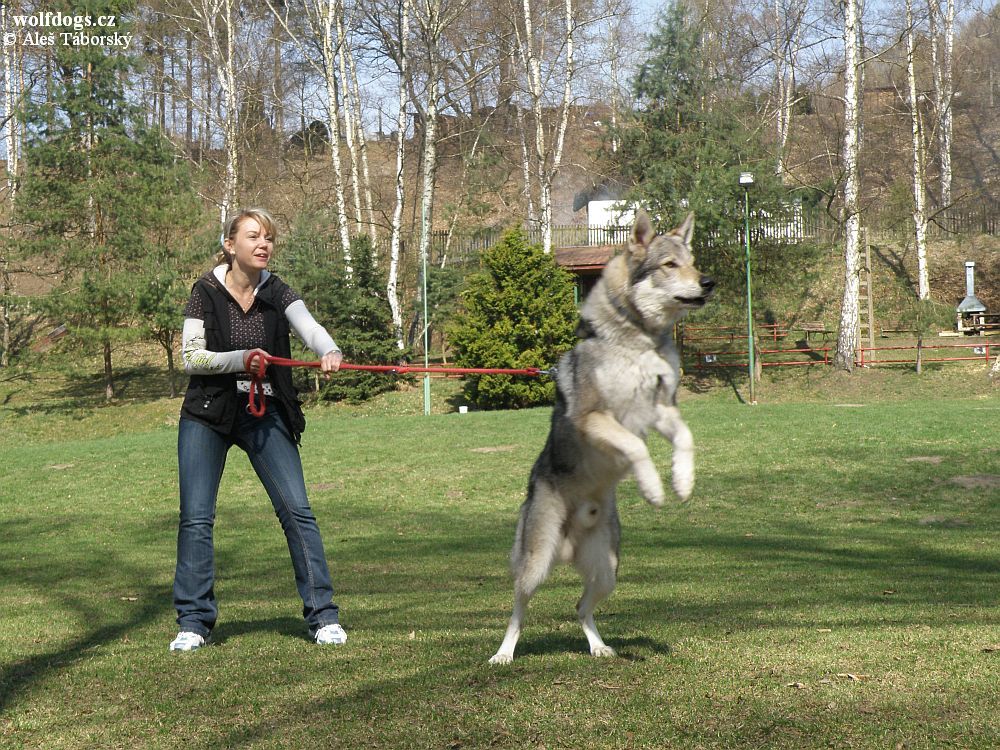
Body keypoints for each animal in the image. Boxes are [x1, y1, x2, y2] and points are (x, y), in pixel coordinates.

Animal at [490, 210, 712, 664]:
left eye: (694, 262)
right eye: (670, 265)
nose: (709, 282)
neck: (640, 341)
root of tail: (569, 543)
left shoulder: (661, 410)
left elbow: (685, 438)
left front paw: (682, 481)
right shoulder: (595, 418)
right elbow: (636, 446)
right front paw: (653, 489)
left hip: (608, 570)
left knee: (580, 607)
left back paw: (598, 646)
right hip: (534, 563)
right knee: (517, 611)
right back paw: (503, 655)